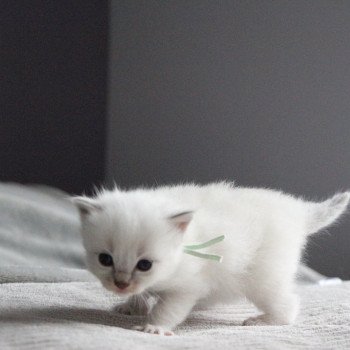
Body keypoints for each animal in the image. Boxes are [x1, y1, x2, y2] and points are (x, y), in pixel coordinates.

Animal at [72, 182, 348, 334]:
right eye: (105, 259)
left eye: (144, 265)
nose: (120, 284)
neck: (183, 245)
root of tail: (298, 211)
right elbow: (143, 294)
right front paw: (131, 306)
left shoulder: (187, 286)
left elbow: (168, 308)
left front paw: (155, 327)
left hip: (265, 279)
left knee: (288, 304)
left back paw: (264, 321)